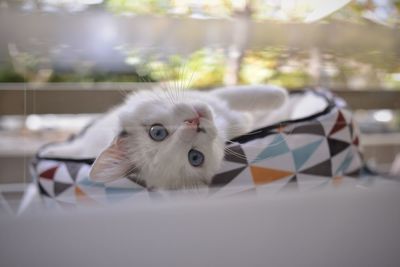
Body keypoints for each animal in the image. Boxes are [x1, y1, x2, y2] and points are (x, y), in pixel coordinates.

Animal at [39, 85, 288, 189]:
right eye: (195, 157)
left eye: (156, 132)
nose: (195, 124)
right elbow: (243, 113)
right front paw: (280, 98)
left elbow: (245, 94)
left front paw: (278, 94)